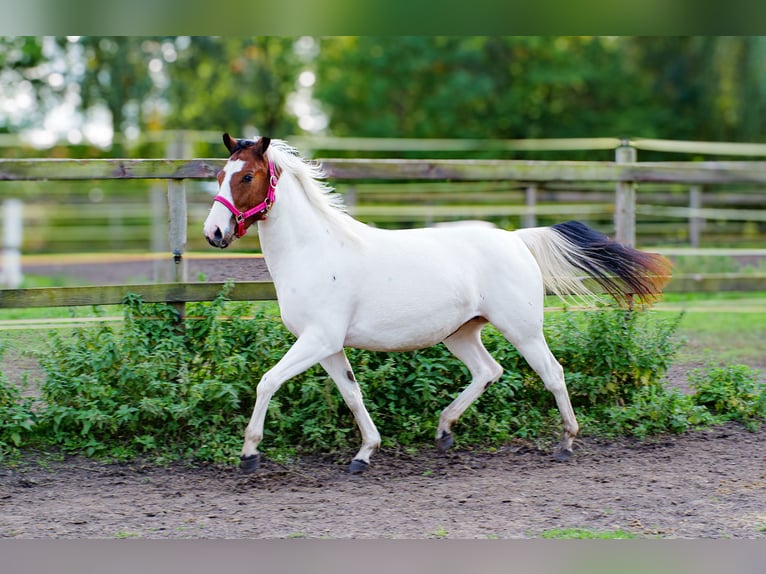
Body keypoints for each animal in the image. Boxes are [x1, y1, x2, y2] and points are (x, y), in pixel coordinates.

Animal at [203, 134, 672, 474]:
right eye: (221, 174)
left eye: (246, 177)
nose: (214, 233)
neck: (314, 251)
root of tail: (516, 238)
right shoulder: (329, 345)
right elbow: (352, 395)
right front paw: (364, 455)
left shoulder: (319, 340)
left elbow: (267, 381)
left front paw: (249, 455)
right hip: (461, 333)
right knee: (488, 370)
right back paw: (445, 429)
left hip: (522, 329)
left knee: (552, 373)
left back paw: (566, 442)